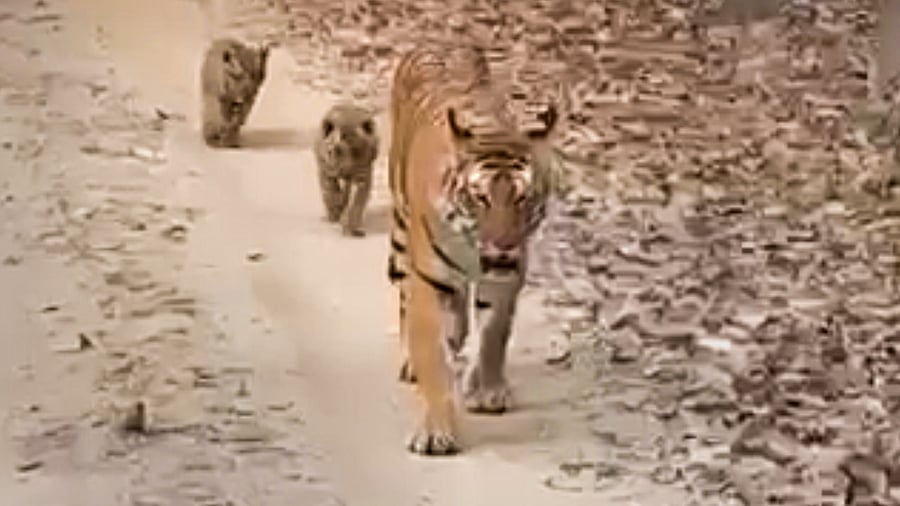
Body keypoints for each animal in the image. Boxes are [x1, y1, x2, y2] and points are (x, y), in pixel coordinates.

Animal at [313, 103, 379, 237]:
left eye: (356, 150)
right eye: (333, 150)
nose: (339, 165)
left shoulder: (362, 176)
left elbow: (356, 202)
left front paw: (351, 227)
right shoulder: (325, 171)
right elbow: (331, 192)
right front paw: (335, 213)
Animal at [387, 43, 564, 456]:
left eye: (523, 198)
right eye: (481, 198)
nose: (503, 245)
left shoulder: (506, 276)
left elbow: (494, 335)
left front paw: (488, 391)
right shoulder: (428, 280)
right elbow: (432, 357)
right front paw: (435, 431)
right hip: (402, 232)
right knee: (404, 297)